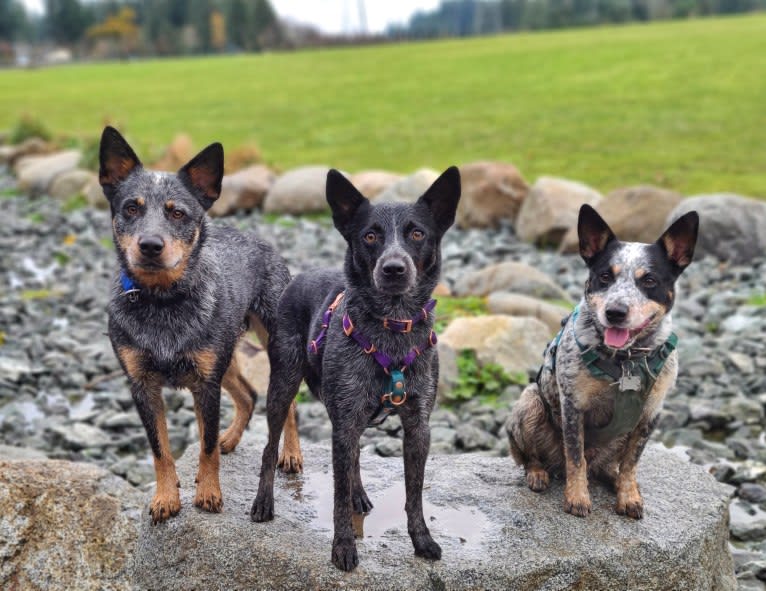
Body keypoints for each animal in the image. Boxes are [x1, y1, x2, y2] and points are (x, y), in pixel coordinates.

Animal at [97, 127, 300, 524]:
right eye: (131, 207)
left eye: (178, 212)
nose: (150, 244)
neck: (162, 303)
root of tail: (259, 238)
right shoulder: (143, 385)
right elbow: (160, 448)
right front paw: (165, 498)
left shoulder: (205, 383)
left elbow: (205, 446)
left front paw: (208, 493)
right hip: (225, 354)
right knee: (248, 396)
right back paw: (231, 438)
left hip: (273, 342)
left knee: (289, 404)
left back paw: (291, 453)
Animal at [252, 165, 462, 568]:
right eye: (369, 236)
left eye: (417, 233)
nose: (394, 268)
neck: (393, 328)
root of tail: (299, 275)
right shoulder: (345, 418)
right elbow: (336, 497)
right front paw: (343, 547)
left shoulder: (418, 426)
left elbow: (414, 495)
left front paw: (421, 540)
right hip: (283, 384)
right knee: (271, 446)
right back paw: (263, 502)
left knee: (355, 459)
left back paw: (359, 494)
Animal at [510, 206, 704, 520]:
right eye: (604, 276)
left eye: (649, 280)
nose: (615, 312)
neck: (627, 360)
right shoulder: (573, 406)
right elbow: (576, 458)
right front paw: (577, 497)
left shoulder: (650, 414)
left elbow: (631, 463)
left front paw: (628, 495)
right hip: (530, 402)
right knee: (534, 457)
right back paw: (538, 473)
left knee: (609, 466)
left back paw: (613, 478)